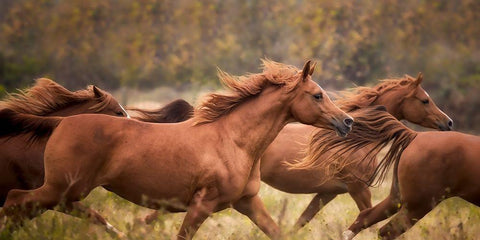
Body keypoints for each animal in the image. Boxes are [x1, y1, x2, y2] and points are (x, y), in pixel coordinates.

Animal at [0, 59, 352, 238]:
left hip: (65, 193)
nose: (347, 121)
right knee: (16, 201)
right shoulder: (201, 205)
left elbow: (276, 232)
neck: (233, 141)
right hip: (61, 188)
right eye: (317, 95)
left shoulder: (246, 202)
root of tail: (60, 122)